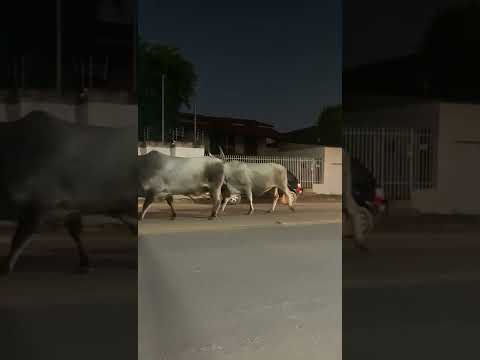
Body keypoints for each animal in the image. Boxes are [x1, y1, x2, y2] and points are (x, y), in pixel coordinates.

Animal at [0, 111, 139, 274]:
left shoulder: (38, 206)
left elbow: (18, 240)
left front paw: (5, 267)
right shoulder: (70, 208)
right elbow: (75, 232)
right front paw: (85, 263)